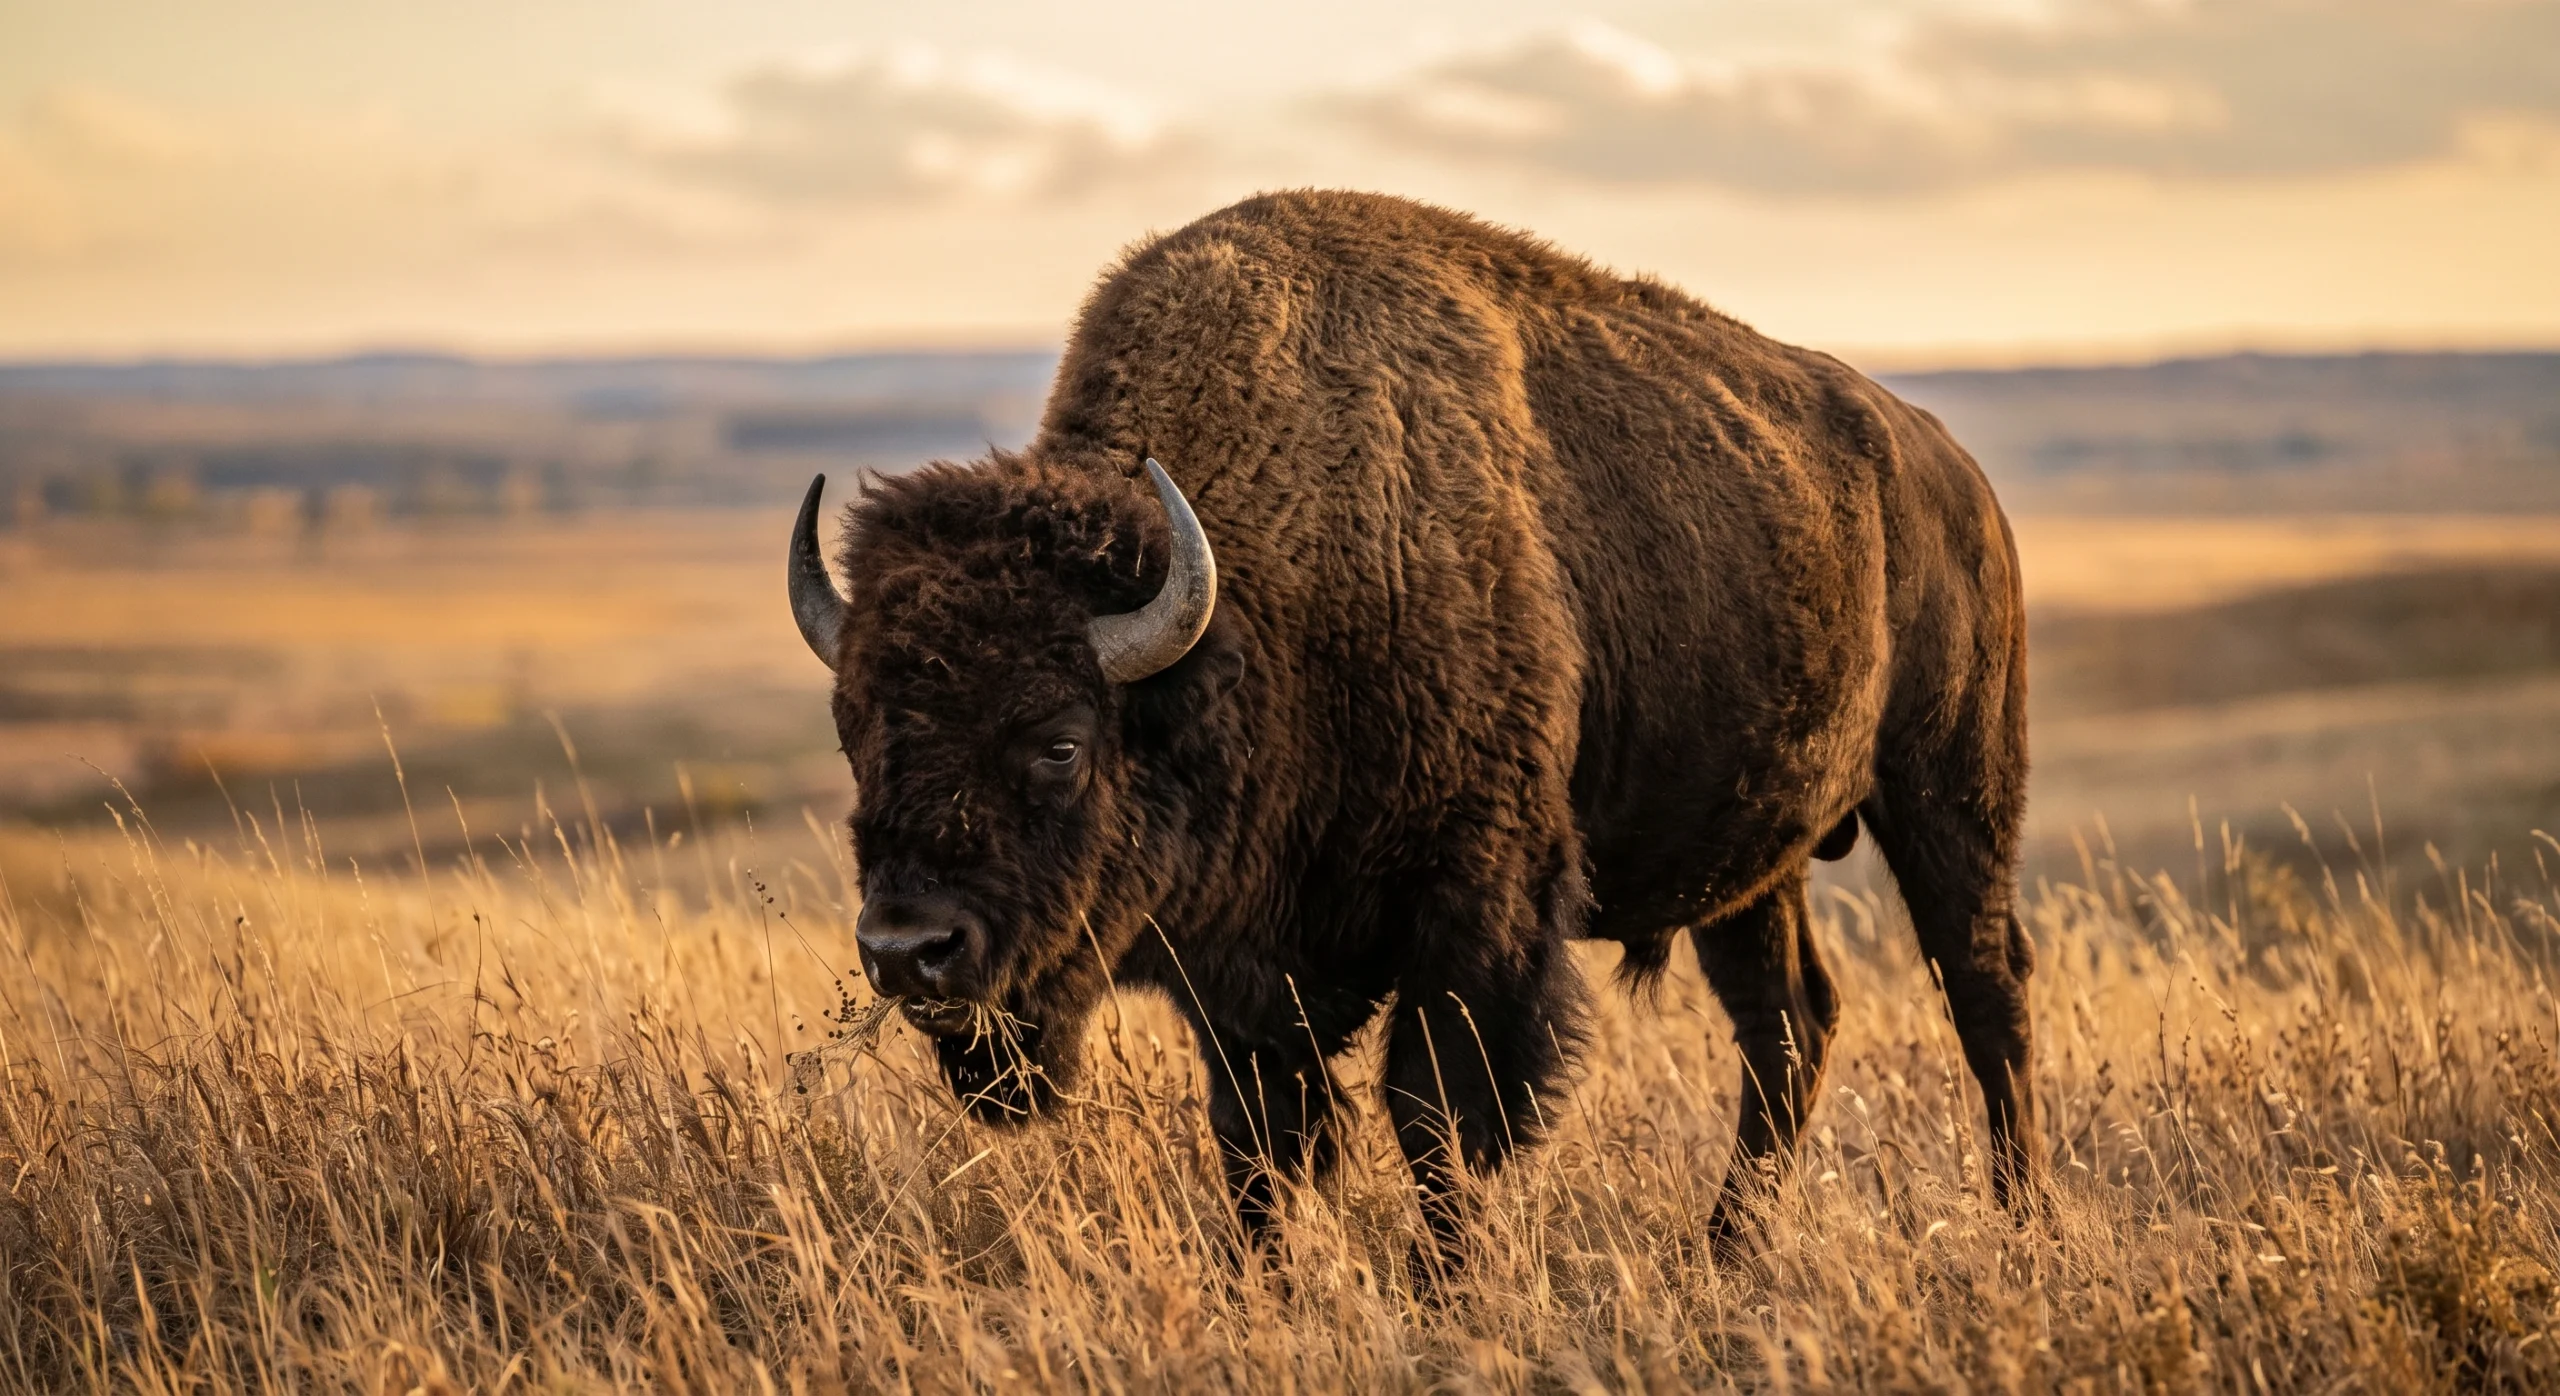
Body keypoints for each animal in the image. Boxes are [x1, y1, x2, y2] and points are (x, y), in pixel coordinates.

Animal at [788, 190, 2040, 1259]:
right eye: (857, 734)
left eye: (1058, 742)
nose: (906, 949)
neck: (1256, 607)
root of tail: (1953, 471)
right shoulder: (1239, 976)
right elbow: (1258, 1142)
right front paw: (1271, 1287)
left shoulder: (1472, 916)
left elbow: (1432, 1122)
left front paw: (1449, 1287)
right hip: (1751, 864)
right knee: (1786, 1027)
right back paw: (1722, 1252)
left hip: (1950, 793)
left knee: (1985, 994)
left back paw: (2022, 1228)